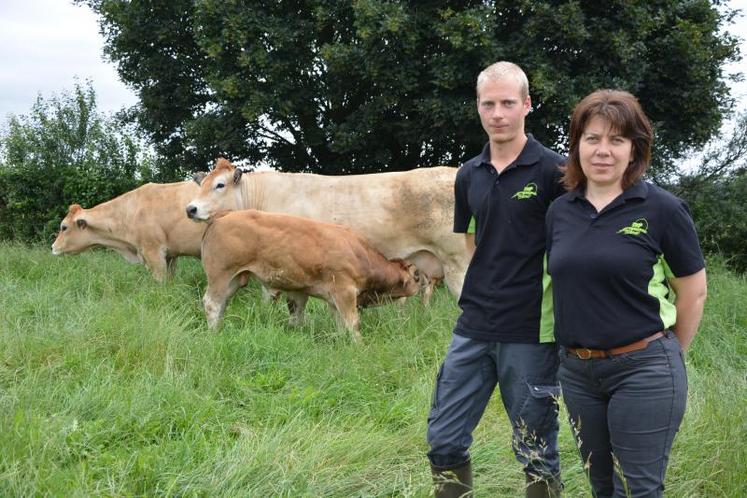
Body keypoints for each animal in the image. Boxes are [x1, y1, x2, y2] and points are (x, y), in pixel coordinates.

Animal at [202, 209, 426, 342]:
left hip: (233, 280)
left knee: (221, 304)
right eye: (416, 275)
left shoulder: (332, 297)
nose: (421, 285)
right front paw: (359, 345)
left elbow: (340, 322)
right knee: (211, 303)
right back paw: (213, 333)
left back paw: (218, 329)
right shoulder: (345, 291)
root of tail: (221, 217)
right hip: (220, 274)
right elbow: (352, 322)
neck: (360, 254)